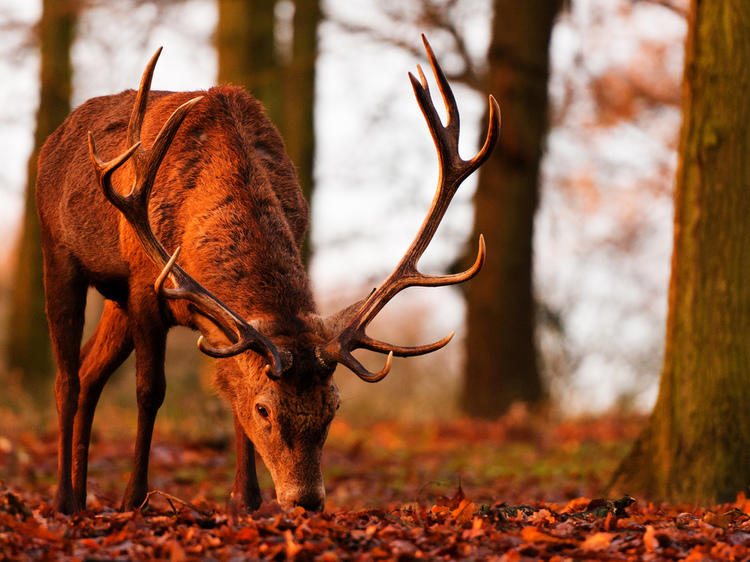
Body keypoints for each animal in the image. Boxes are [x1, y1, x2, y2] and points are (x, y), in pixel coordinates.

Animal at [38, 36, 502, 512]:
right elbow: (150, 391)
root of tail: (55, 137)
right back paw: (64, 498)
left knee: (90, 371)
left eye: (334, 407)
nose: (307, 499)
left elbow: (231, 386)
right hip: (58, 251)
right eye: (266, 410)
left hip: (116, 299)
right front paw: (133, 500)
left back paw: (81, 494)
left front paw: (245, 499)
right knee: (66, 379)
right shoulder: (146, 285)